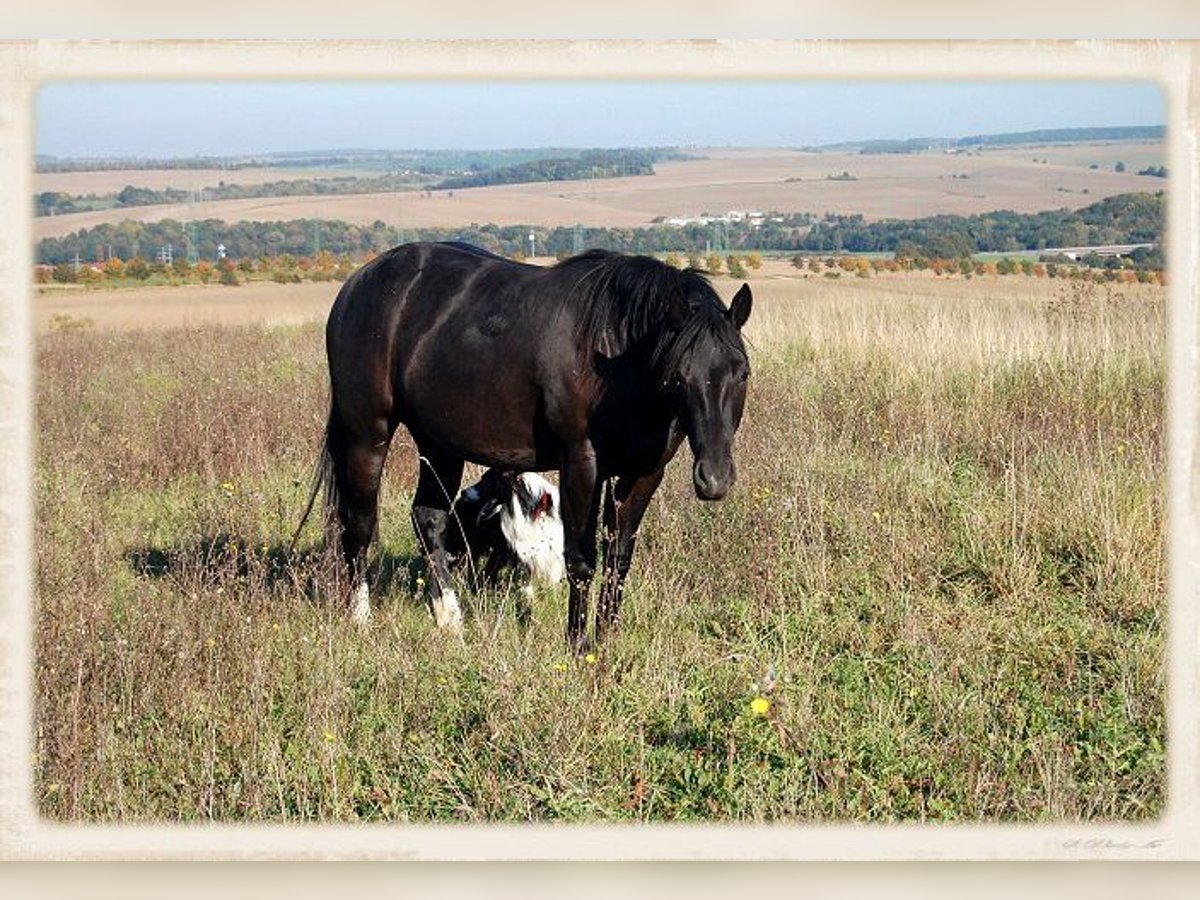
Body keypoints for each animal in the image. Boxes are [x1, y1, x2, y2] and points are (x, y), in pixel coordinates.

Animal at [300, 240, 748, 648]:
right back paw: (360, 616)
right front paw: (577, 647)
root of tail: (358, 283)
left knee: (428, 518)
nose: (714, 479)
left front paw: (605, 644)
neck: (616, 355)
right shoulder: (581, 463)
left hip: (439, 443)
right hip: (367, 433)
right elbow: (581, 560)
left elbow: (618, 560)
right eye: (678, 377)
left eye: (741, 372)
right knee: (359, 521)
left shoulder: (644, 473)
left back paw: (450, 620)